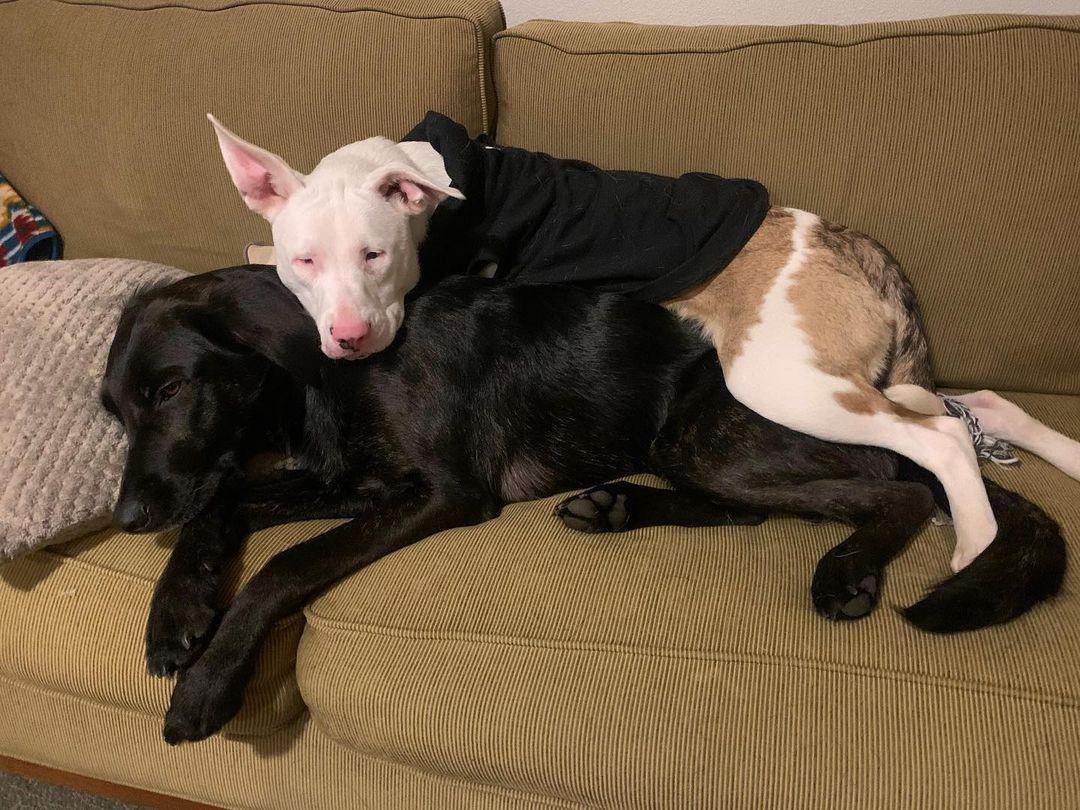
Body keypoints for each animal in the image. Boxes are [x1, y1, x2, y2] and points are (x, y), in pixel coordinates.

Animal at [99, 263, 1062, 747]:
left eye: (172, 389)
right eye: (112, 408)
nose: (129, 519)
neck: (332, 368)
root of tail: (886, 386)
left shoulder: (440, 492)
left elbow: (287, 564)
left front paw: (209, 682)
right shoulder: (349, 481)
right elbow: (222, 506)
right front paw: (175, 615)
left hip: (716, 433)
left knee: (892, 490)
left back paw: (849, 571)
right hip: (693, 447)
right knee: (758, 508)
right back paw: (616, 508)